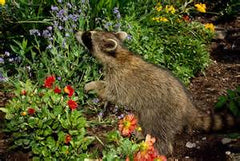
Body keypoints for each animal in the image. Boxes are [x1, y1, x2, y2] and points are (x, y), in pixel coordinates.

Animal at [75, 30, 236, 155]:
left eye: (88, 36)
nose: (76, 32)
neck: (118, 53)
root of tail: (189, 107)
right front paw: (93, 83)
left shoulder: (120, 79)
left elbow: (111, 92)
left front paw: (93, 86)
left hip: (164, 114)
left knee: (158, 132)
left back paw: (156, 150)